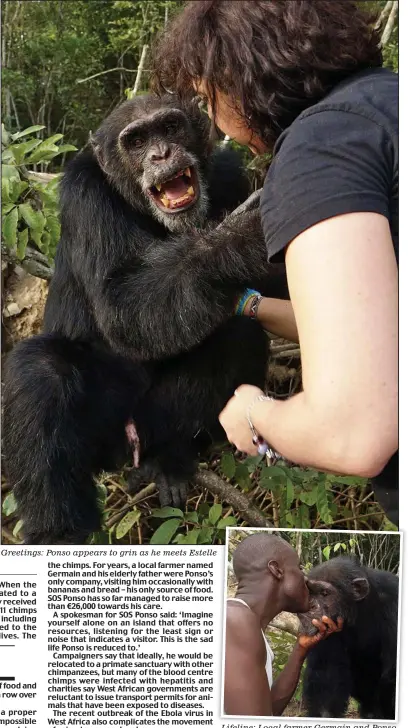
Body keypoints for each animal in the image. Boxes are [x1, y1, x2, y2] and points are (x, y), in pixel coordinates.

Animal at [3, 94, 286, 544]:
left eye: (169, 127)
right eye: (135, 141)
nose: (161, 154)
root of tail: (127, 452)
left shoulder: (230, 174)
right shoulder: (84, 197)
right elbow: (122, 306)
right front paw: (238, 238)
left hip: (152, 423)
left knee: (237, 332)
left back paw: (170, 459)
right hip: (102, 437)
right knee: (40, 370)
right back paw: (59, 534)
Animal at [296, 556, 398, 720]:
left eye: (325, 593)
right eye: (310, 592)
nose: (310, 605)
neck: (361, 610)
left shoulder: (394, 608)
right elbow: (326, 677)